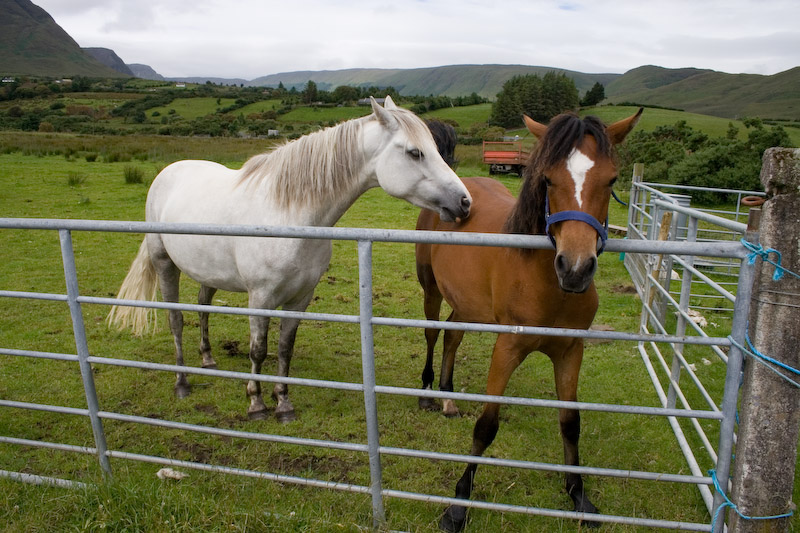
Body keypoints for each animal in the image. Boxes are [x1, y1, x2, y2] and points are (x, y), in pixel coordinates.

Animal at [105, 96, 468, 420]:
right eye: (415, 152)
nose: (465, 202)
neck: (290, 215)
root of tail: (168, 172)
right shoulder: (260, 297)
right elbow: (258, 349)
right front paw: (256, 402)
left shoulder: (300, 297)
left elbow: (283, 347)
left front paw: (283, 402)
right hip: (165, 263)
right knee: (176, 320)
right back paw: (182, 382)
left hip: (209, 272)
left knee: (203, 305)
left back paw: (208, 359)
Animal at [416, 109, 640, 532]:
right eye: (548, 179)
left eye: (612, 180)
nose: (575, 268)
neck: (548, 287)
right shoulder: (508, 348)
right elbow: (487, 425)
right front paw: (458, 504)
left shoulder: (570, 351)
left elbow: (571, 422)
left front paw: (579, 495)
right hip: (432, 289)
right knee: (433, 333)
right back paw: (427, 393)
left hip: (467, 304)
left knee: (453, 335)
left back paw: (449, 396)